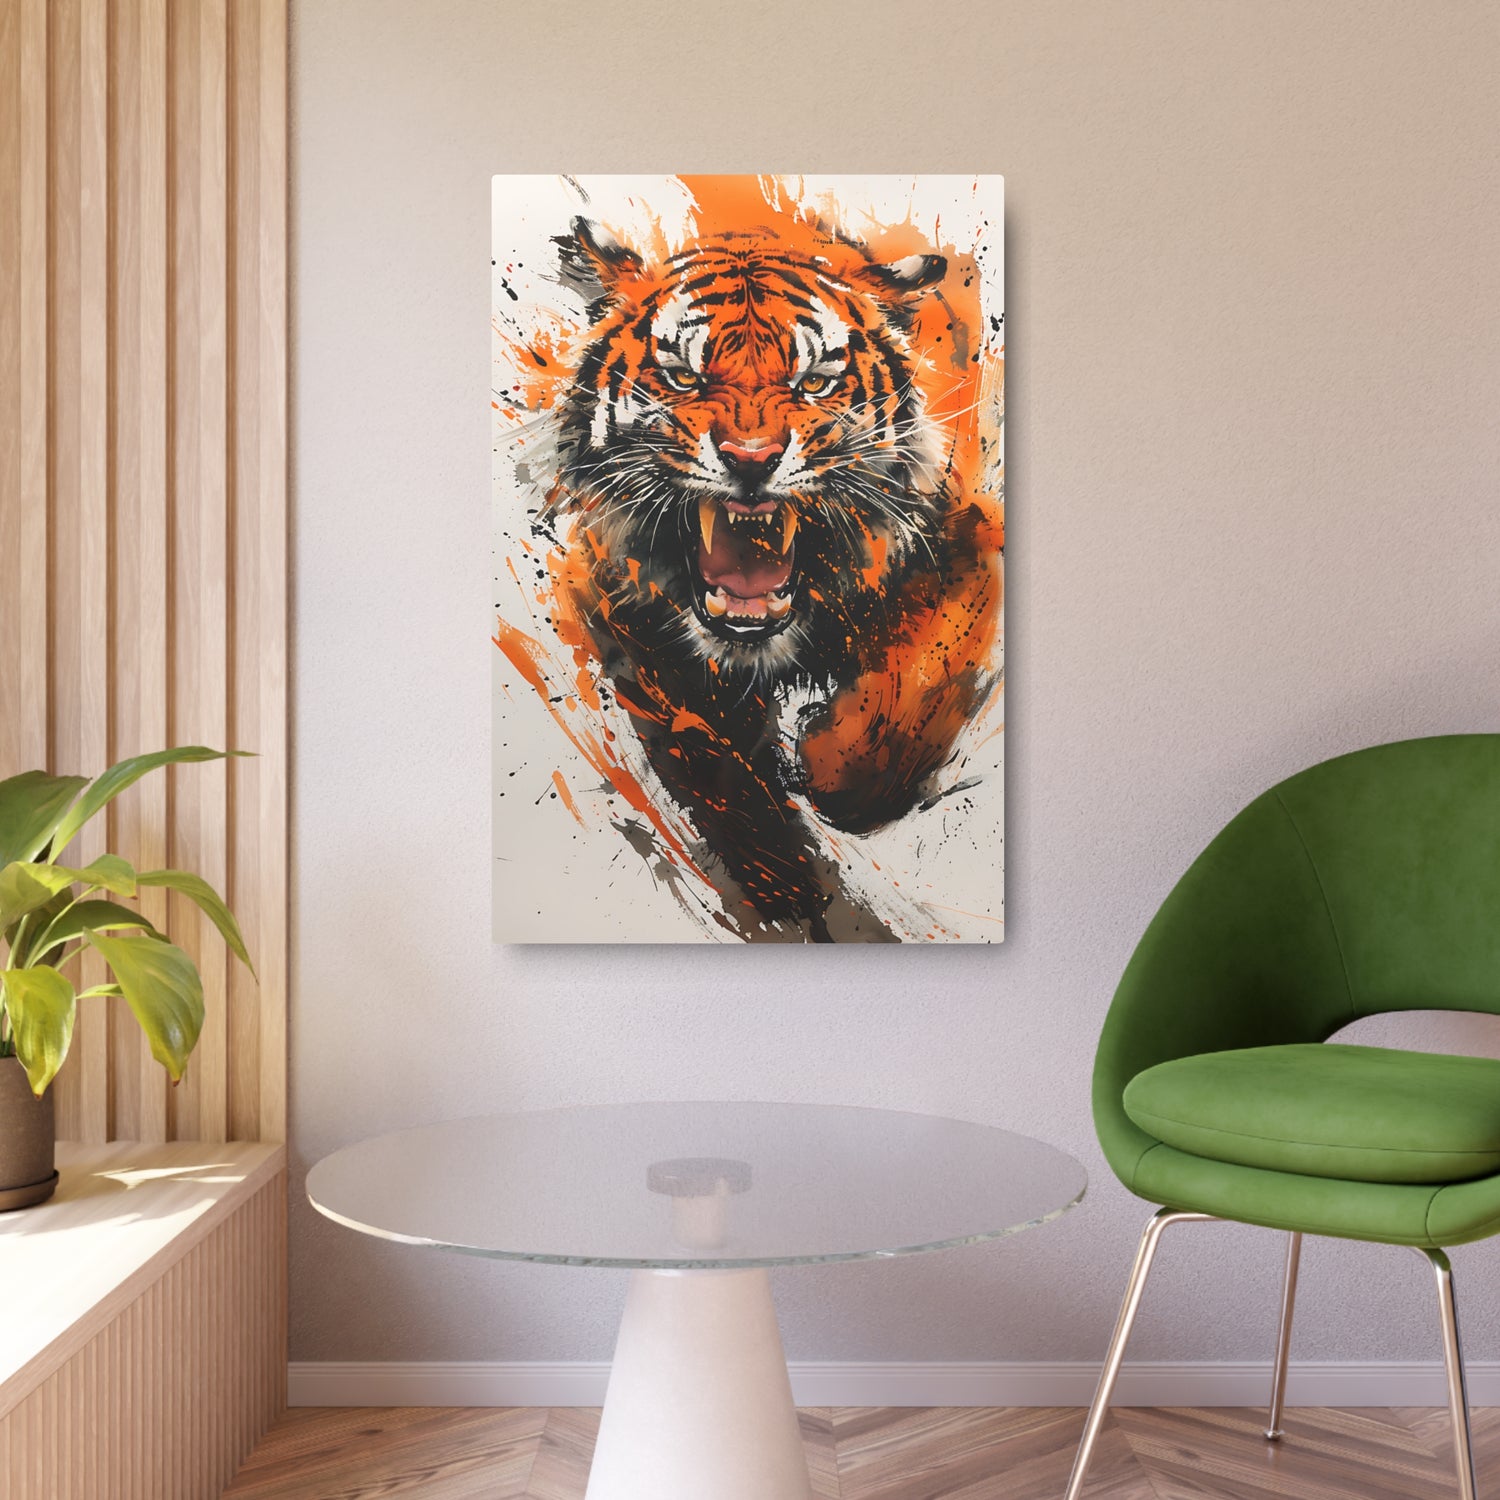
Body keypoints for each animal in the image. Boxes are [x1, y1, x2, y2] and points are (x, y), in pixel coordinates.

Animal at [540, 215, 1002, 941]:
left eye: (812, 382)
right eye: (685, 377)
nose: (751, 459)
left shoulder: (971, 534)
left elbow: (924, 675)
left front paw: (836, 771)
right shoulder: (622, 613)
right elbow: (719, 774)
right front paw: (783, 889)